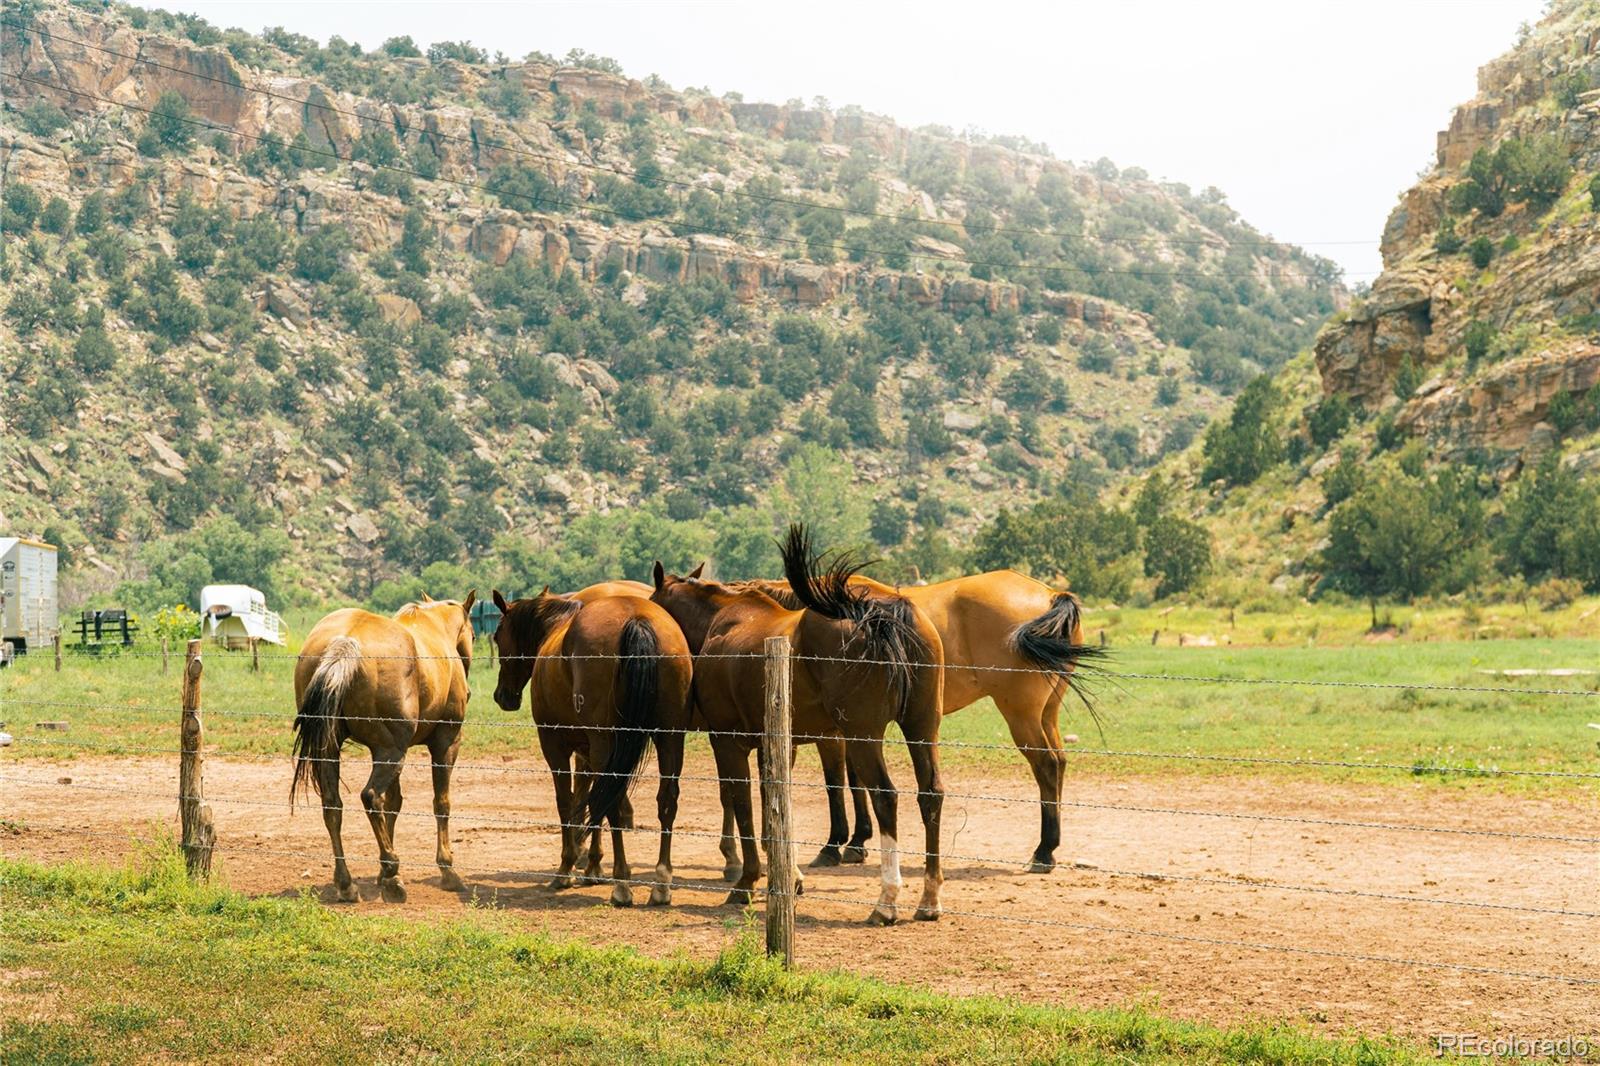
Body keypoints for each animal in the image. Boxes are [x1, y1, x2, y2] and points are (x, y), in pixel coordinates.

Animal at [291, 592, 473, 902]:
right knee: (371, 797)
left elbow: (394, 805)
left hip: (336, 751)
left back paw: (347, 883)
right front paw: (447, 870)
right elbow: (441, 804)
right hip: (391, 753)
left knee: (333, 806)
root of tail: (346, 642)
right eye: (472, 633)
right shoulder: (446, 744)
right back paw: (391, 873)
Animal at [486, 585, 688, 902]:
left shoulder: (555, 746)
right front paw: (593, 865)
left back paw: (622, 884)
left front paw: (567, 868)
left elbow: (567, 801)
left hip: (609, 741)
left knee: (613, 801)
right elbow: (592, 798)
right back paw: (661, 884)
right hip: (670, 737)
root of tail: (637, 618)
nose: (502, 696)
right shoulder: (590, 752)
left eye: (497, 635)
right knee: (666, 800)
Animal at [652, 521, 947, 921]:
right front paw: (788, 877)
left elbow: (743, 805)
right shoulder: (778, 744)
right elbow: (774, 805)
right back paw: (929, 899)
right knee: (930, 795)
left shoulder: (727, 740)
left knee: (885, 796)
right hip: (921, 729)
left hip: (863, 737)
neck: (721, 623)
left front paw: (746, 881)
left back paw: (886, 900)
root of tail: (883, 613)